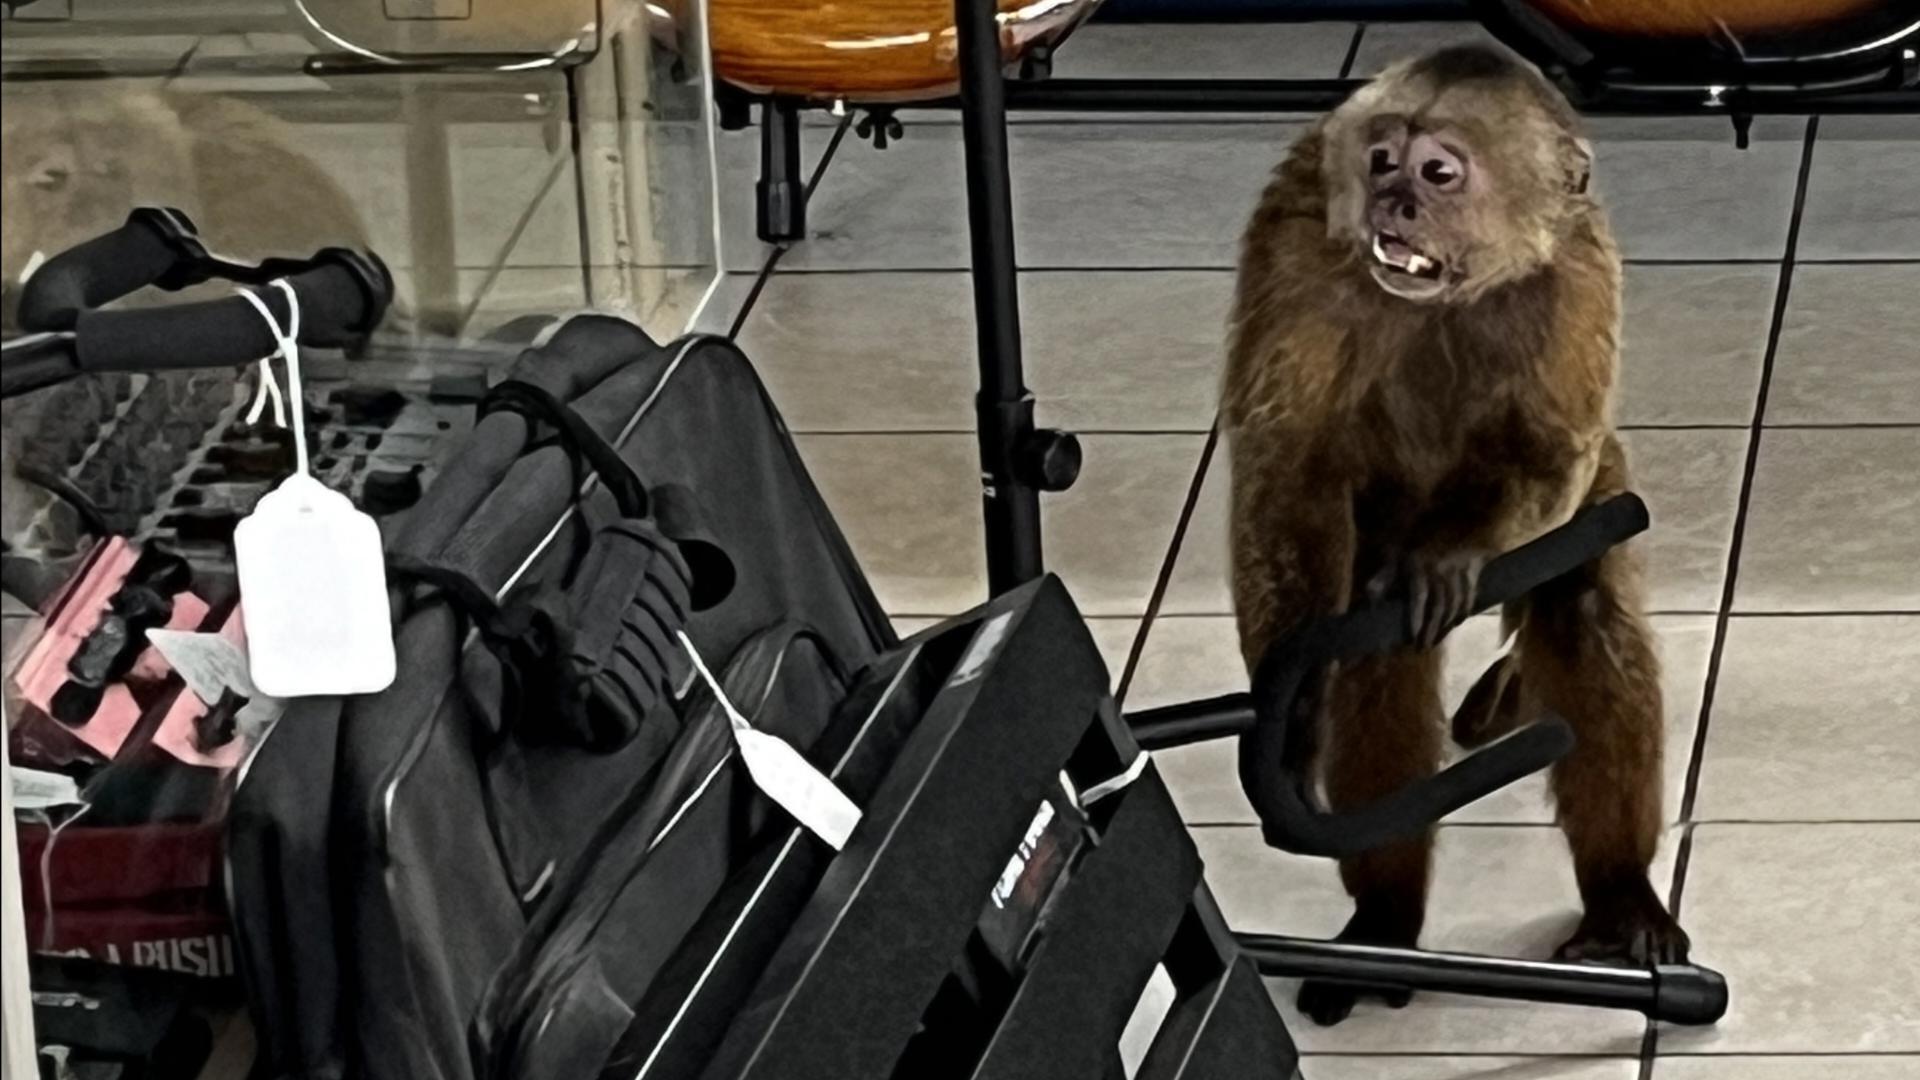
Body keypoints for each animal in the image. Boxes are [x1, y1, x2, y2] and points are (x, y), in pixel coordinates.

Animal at [1221, 44, 1687, 1027]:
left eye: (1439, 173)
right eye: (1382, 162)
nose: (1396, 201)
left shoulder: (1577, 262)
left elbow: (1553, 454)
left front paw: (1446, 564)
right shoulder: (1296, 242)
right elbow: (1285, 474)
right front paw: (1290, 727)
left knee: (1584, 599)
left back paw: (1620, 897)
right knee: (1378, 660)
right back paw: (1386, 923)